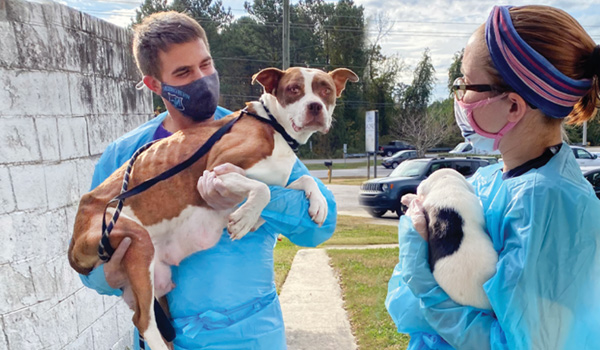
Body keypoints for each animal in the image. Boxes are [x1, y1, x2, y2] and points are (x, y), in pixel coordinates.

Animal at [69, 67, 360, 348]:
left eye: (326, 90)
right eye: (294, 89)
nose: (315, 107)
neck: (273, 125)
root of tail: (73, 242)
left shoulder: (277, 180)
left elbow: (301, 180)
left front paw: (317, 204)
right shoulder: (216, 169)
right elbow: (263, 190)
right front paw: (246, 218)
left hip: (155, 280)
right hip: (134, 240)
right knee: (144, 322)